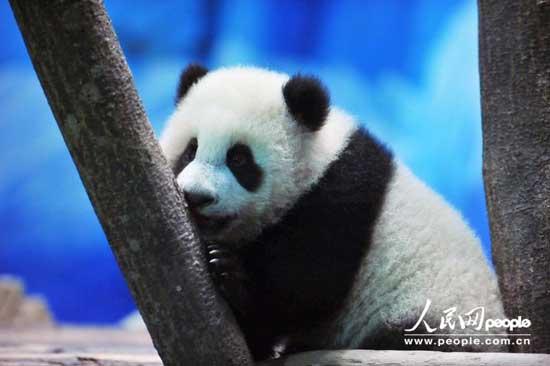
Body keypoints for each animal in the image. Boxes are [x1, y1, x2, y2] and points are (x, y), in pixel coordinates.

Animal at [158, 64, 508, 358]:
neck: (317, 160)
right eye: (190, 150)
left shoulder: (340, 199)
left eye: (239, 159)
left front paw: (230, 272)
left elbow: (305, 287)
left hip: (435, 317)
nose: (196, 197)